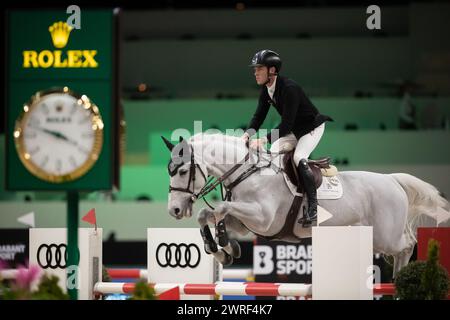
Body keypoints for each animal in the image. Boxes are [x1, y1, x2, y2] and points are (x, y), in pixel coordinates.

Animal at [163, 132, 448, 278]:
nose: (174, 211)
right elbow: (206, 214)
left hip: (385, 236)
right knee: (404, 246)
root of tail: (392, 179)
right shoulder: (248, 224)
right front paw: (223, 249)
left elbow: (220, 209)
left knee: (408, 244)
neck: (247, 172)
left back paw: (403, 279)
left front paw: (224, 244)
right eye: (169, 171)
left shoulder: (263, 219)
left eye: (183, 171)